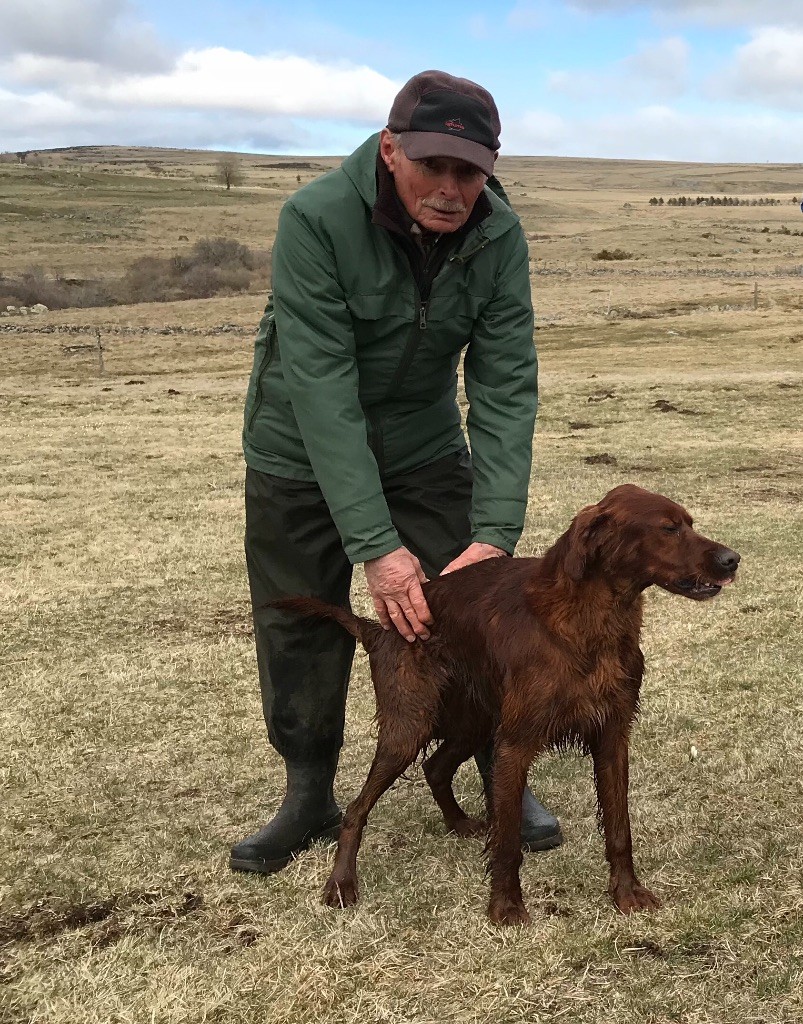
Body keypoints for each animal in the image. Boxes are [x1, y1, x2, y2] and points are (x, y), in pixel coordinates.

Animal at [278, 483, 741, 925]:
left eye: (689, 523)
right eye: (668, 528)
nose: (732, 559)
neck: (588, 621)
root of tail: (379, 628)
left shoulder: (612, 736)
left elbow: (618, 827)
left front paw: (626, 893)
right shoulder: (515, 745)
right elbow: (507, 840)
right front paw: (506, 907)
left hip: (474, 722)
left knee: (435, 767)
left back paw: (458, 823)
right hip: (408, 727)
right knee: (356, 810)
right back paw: (341, 885)